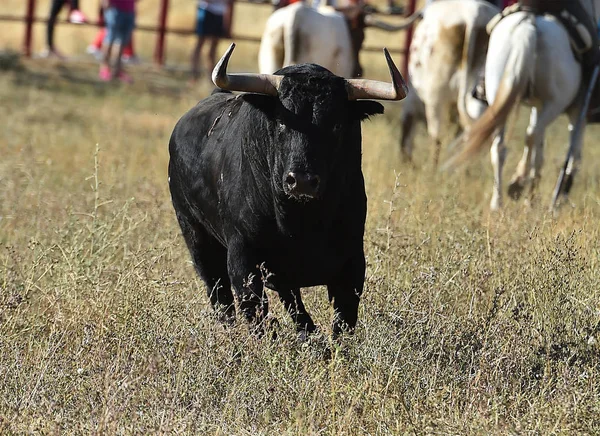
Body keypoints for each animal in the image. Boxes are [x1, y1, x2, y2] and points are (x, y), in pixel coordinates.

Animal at [169, 44, 408, 336]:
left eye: (336, 125)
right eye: (282, 121)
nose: (302, 181)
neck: (301, 223)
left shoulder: (352, 263)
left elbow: (342, 322)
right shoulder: (243, 259)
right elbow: (253, 311)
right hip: (196, 236)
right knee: (220, 296)